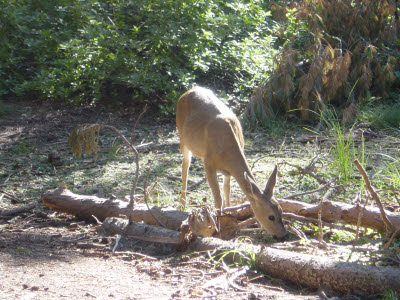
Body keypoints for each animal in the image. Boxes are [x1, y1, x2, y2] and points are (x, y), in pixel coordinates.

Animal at [176, 86, 288, 239]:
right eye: (271, 217)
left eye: (281, 210)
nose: (283, 234)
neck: (227, 150)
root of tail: (189, 90)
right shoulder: (208, 163)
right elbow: (218, 197)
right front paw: (216, 225)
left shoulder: (228, 171)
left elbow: (227, 190)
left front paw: (228, 214)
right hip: (182, 135)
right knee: (185, 166)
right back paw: (182, 203)